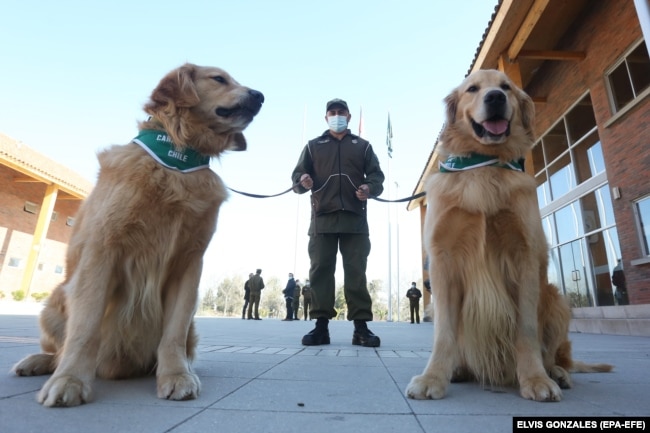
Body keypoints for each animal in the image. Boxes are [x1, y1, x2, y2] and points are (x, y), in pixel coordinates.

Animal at [12, 63, 262, 404]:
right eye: (219, 79)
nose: (260, 96)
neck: (177, 158)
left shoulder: (189, 263)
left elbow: (173, 333)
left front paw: (176, 375)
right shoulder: (102, 251)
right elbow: (85, 327)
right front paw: (69, 380)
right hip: (53, 303)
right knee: (59, 349)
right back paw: (39, 362)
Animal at [402, 68, 612, 402]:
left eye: (506, 87)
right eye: (473, 89)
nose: (495, 98)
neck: (484, 164)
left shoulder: (524, 256)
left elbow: (526, 330)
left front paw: (535, 379)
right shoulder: (444, 260)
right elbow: (444, 333)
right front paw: (433, 377)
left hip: (556, 300)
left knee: (556, 354)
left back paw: (556, 372)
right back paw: (459, 369)